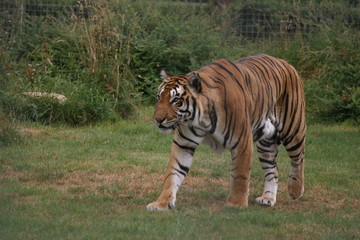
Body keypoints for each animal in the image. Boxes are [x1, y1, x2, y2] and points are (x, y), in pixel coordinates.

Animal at [146, 54, 306, 210]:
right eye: (158, 97)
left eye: (175, 100)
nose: (157, 119)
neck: (200, 119)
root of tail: (285, 62)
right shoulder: (184, 144)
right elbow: (173, 173)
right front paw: (161, 203)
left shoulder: (242, 142)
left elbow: (240, 175)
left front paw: (236, 204)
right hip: (266, 143)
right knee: (273, 170)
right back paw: (268, 198)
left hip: (293, 129)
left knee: (298, 158)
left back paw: (295, 190)